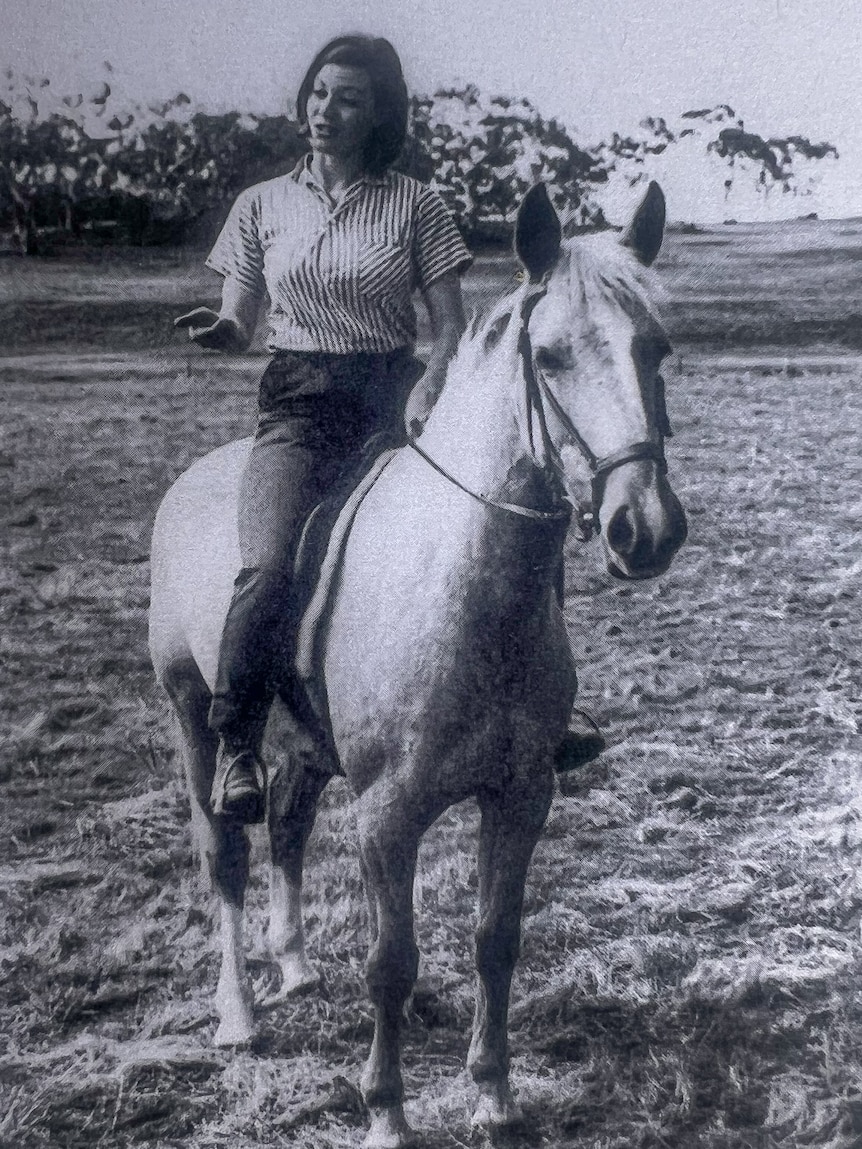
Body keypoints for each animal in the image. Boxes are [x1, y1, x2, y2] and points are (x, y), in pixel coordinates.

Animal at [148, 180, 687, 1149]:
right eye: (548, 357)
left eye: (656, 348)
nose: (646, 528)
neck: (464, 588)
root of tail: (194, 479)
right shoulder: (388, 815)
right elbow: (390, 962)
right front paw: (387, 1112)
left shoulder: (520, 795)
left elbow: (495, 939)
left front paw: (494, 1096)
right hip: (190, 716)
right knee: (228, 849)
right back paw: (239, 1013)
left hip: (307, 745)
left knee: (288, 824)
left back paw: (293, 968)